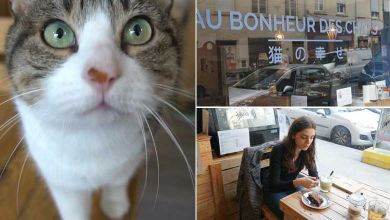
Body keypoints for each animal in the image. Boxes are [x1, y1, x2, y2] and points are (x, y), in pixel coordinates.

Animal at [4, 0, 190, 220]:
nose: (103, 73)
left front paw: (115, 203)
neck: (94, 140)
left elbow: (118, 180)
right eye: (58, 33)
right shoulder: (59, 177)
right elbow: (73, 207)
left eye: (138, 30)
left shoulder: (136, 150)